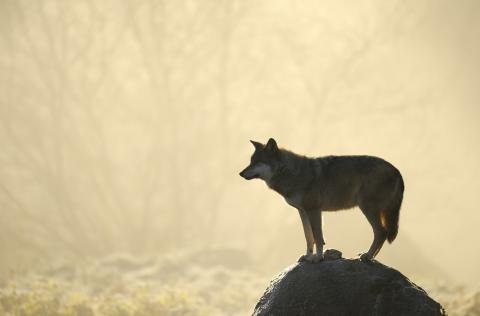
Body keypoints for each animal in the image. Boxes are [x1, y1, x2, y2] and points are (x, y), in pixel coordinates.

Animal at [238, 138, 404, 262]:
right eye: (251, 161)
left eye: (257, 162)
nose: (240, 173)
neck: (292, 173)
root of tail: (397, 171)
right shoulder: (303, 212)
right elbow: (309, 236)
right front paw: (307, 256)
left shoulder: (314, 210)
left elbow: (317, 237)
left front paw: (317, 258)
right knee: (381, 233)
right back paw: (371, 257)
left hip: (367, 208)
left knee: (381, 232)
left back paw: (368, 256)